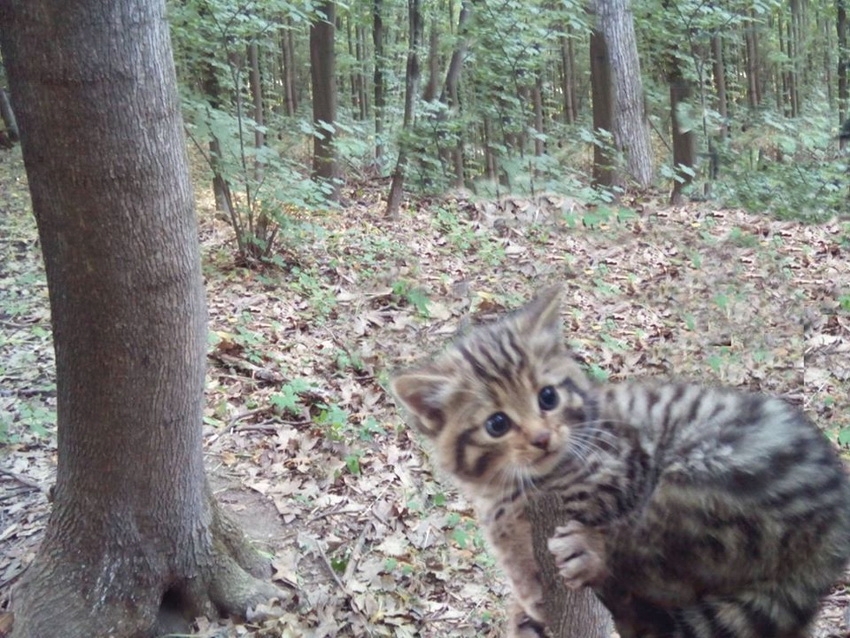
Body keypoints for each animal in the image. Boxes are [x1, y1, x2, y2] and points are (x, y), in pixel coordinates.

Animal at [390, 288, 848, 638]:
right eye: (497, 423)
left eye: (548, 397)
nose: (541, 439)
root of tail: (830, 543)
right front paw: (526, 600)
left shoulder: (622, 464)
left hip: (713, 476)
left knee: (655, 551)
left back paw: (593, 554)